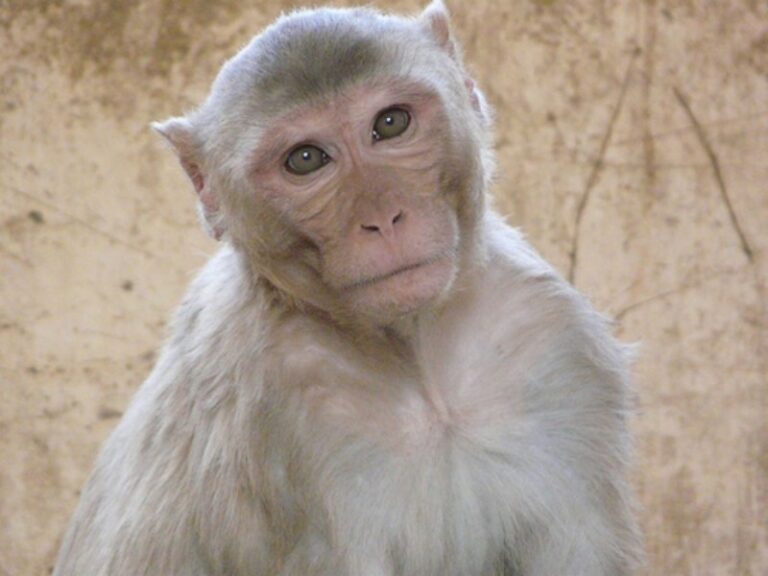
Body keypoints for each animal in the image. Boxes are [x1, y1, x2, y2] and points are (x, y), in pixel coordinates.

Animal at [54, 2, 643, 575]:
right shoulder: (281, 416)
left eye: (391, 123)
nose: (383, 218)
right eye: (306, 159)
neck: (422, 370)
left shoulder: (549, 339)